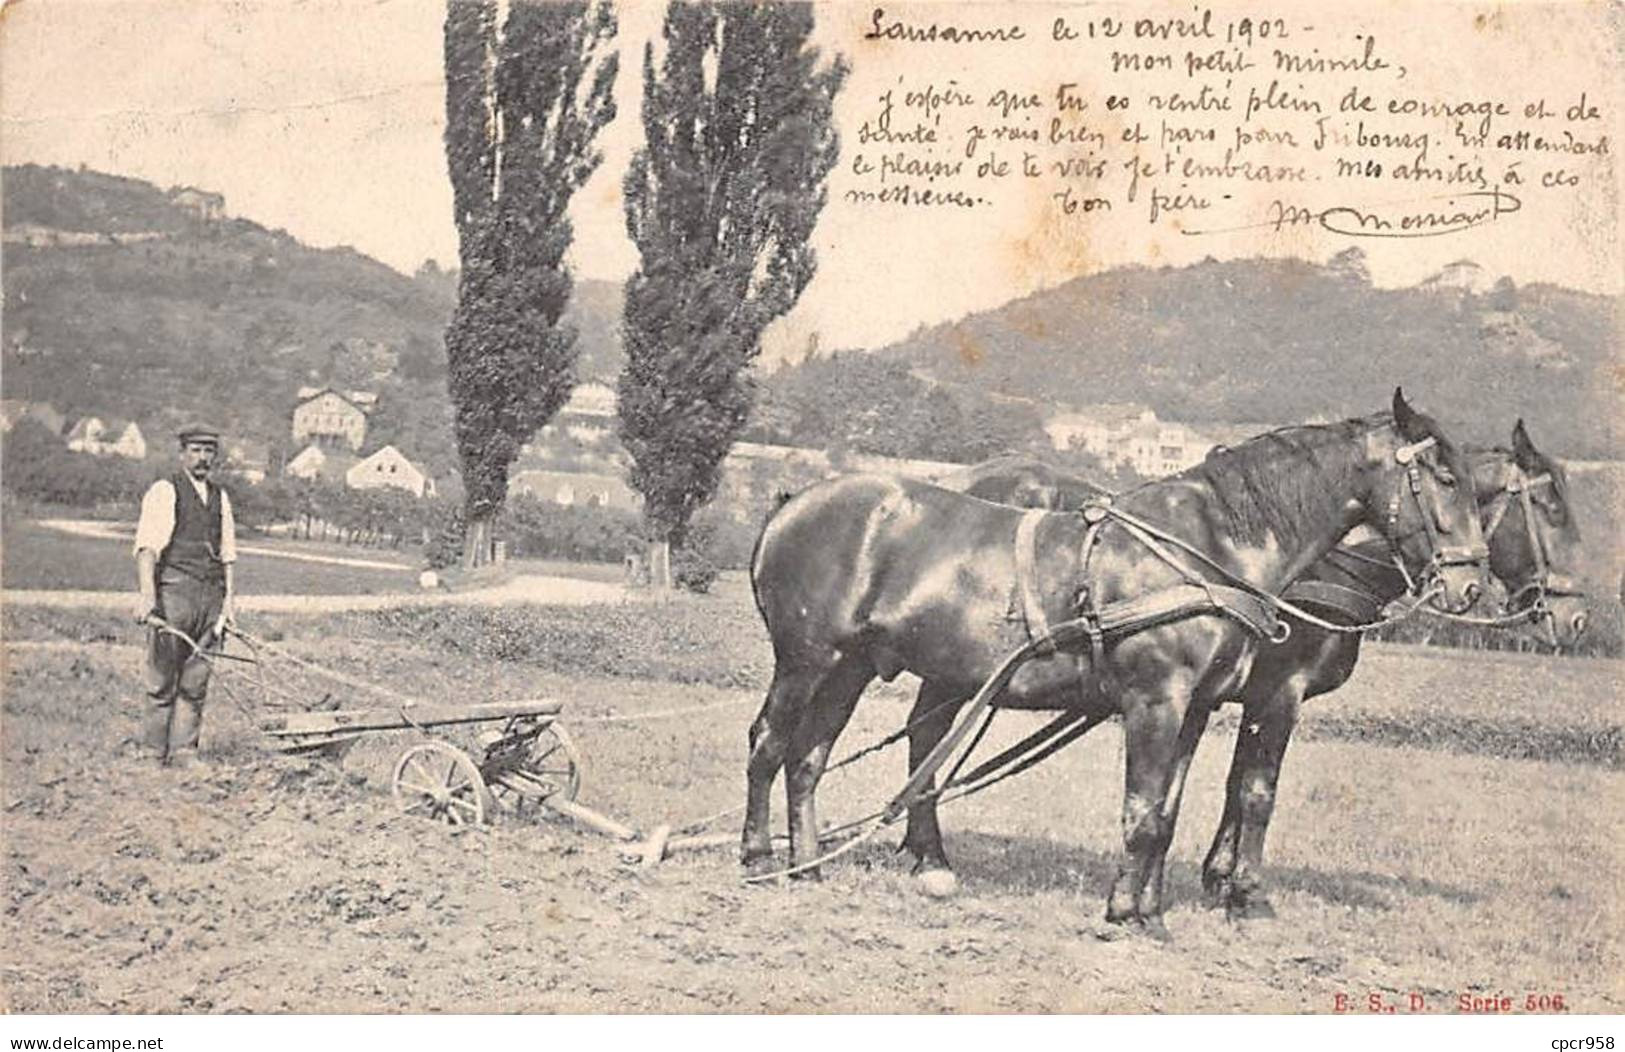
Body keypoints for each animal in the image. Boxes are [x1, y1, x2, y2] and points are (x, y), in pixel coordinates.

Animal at [744, 390, 1488, 936]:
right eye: (1446, 479)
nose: (1471, 584)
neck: (1206, 546)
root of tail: (792, 503)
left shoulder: (1195, 706)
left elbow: (1167, 810)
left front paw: (1148, 908)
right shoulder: (1163, 698)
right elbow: (1150, 810)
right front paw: (1130, 914)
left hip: (850, 668)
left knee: (808, 757)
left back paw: (807, 868)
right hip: (806, 660)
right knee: (769, 745)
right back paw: (757, 860)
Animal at [942, 419, 1586, 923]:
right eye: (1550, 510)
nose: (1576, 617)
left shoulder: (1226, 697)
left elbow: (1217, 788)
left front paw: (1210, 880)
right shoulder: (1278, 691)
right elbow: (1256, 792)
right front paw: (1244, 892)